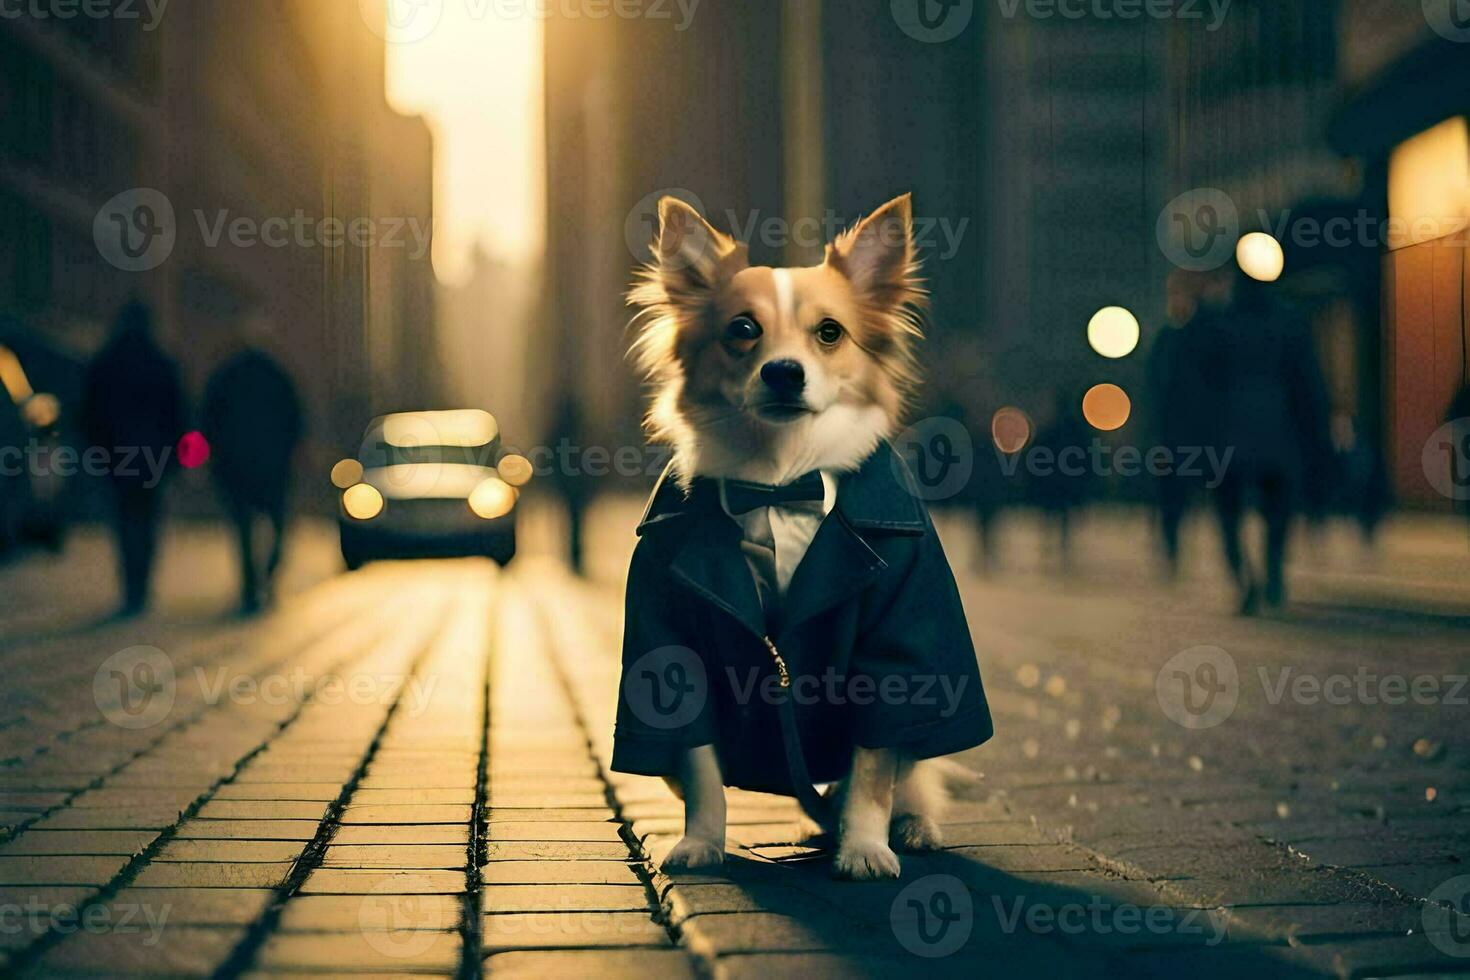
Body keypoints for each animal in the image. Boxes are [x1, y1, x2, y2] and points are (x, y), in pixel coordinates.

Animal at [614, 193, 993, 881]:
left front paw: (864, 847)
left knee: (907, 776)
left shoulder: (893, 647)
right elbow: (701, 767)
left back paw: (911, 826)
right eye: (743, 330)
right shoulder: (675, 637)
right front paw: (702, 841)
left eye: (830, 333)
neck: (781, 481)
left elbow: (871, 771)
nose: (785, 372)